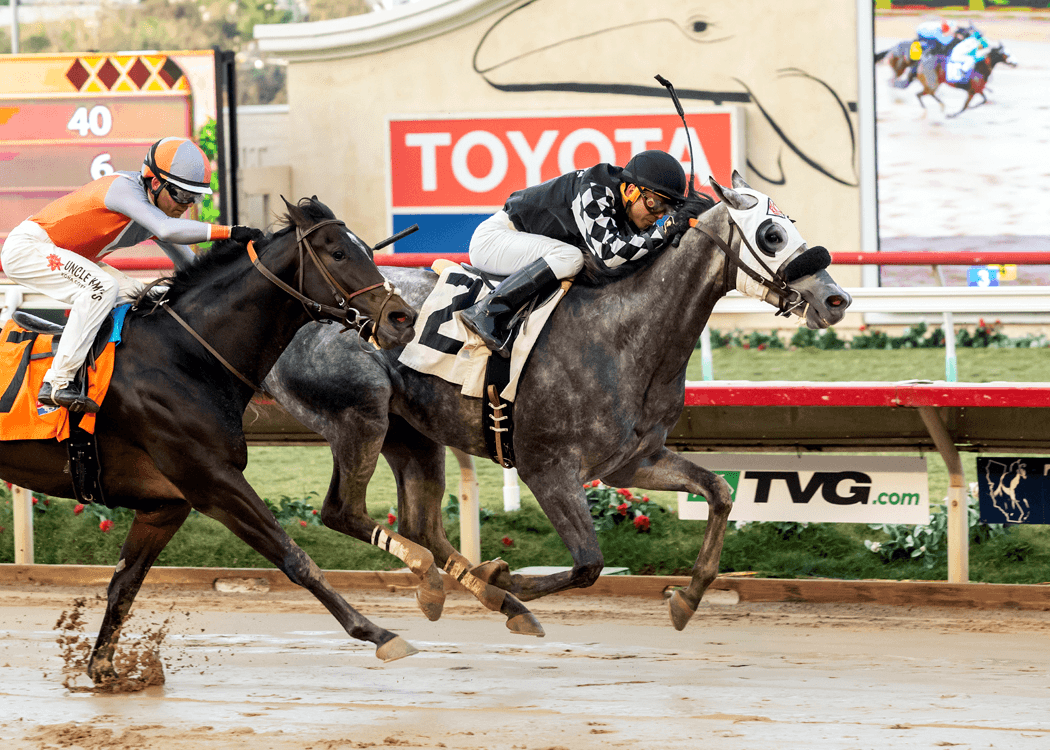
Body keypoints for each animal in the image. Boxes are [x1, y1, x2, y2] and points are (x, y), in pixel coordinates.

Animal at [0, 195, 417, 680]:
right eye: (338, 253)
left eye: (367, 249)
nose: (403, 318)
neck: (188, 355)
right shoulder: (213, 481)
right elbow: (294, 556)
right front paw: (380, 634)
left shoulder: (166, 504)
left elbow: (125, 582)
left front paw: (104, 669)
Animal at [264, 172, 852, 634]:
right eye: (772, 234)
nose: (836, 299)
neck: (623, 335)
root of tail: (304, 304)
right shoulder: (547, 466)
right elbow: (589, 564)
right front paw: (506, 577)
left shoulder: (632, 462)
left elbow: (720, 493)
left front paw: (686, 598)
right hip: (361, 413)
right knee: (346, 511)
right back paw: (486, 590)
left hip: (412, 432)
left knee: (422, 526)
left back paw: (459, 590)